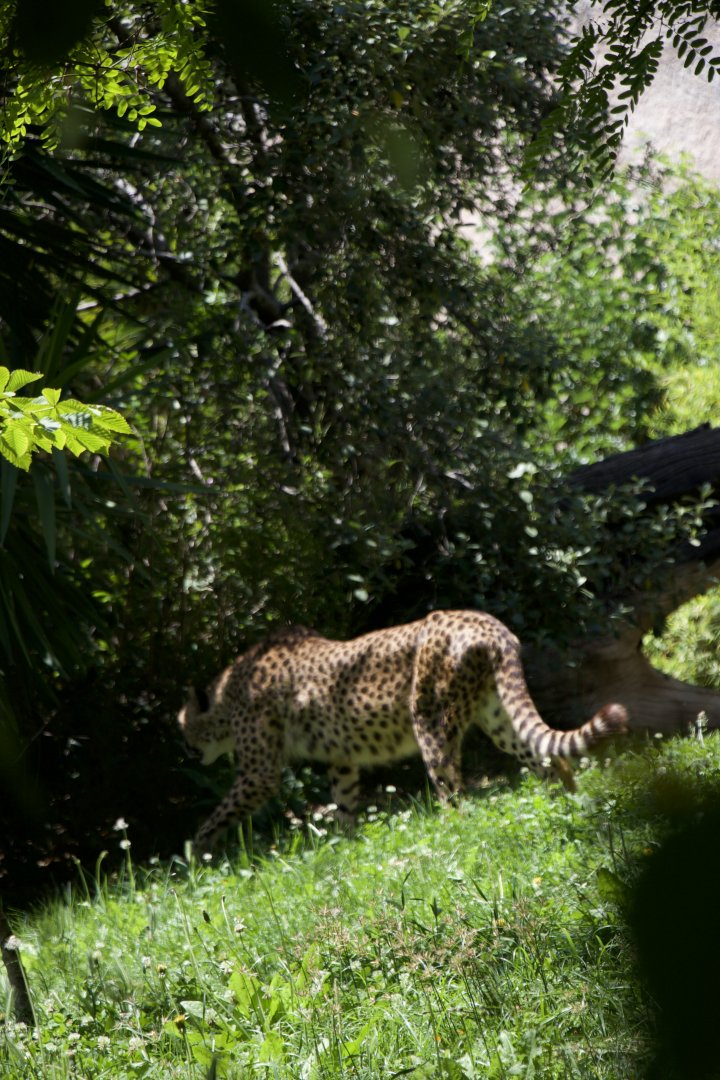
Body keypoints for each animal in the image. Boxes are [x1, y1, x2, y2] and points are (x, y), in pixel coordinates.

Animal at [178, 610, 628, 853]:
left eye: (184, 728)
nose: (188, 753)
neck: (226, 692)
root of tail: (487, 623)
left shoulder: (259, 773)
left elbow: (219, 813)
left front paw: (195, 854)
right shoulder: (341, 758)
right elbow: (344, 802)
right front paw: (347, 846)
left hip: (430, 720)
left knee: (455, 792)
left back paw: (450, 836)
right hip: (497, 715)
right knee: (549, 759)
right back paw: (566, 808)